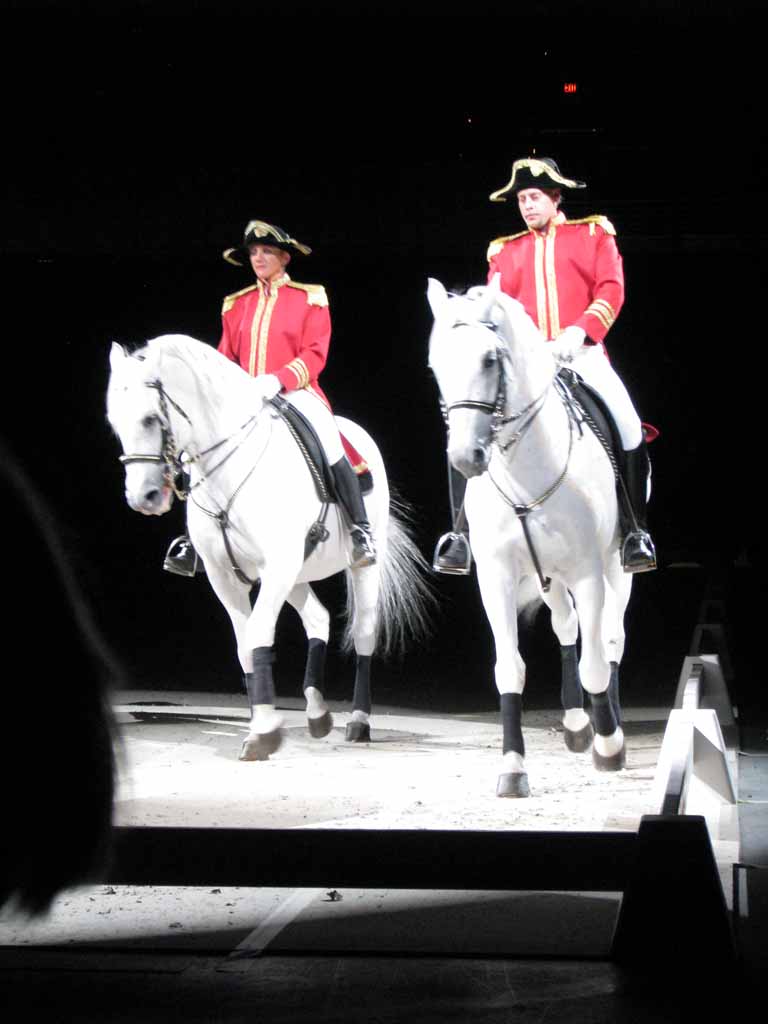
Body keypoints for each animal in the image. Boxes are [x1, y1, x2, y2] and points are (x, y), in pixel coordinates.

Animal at [107, 335, 434, 761]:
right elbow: (245, 644)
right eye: (114, 422)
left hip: (358, 567)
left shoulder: (278, 566)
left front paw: (263, 732)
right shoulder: (225, 576)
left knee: (364, 632)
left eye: (150, 419)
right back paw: (316, 712)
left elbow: (260, 632)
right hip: (295, 574)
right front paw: (261, 720)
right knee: (318, 619)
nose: (142, 497)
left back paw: (359, 722)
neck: (229, 470)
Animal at [428, 278, 630, 798]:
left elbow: (596, 662)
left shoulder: (588, 572)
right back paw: (577, 723)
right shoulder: (497, 576)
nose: (466, 457)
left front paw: (609, 747)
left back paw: (609, 724)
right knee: (566, 627)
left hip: (617, 568)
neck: (528, 469)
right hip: (550, 576)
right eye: (436, 365)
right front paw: (513, 766)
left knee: (611, 638)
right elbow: (510, 668)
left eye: (489, 360)